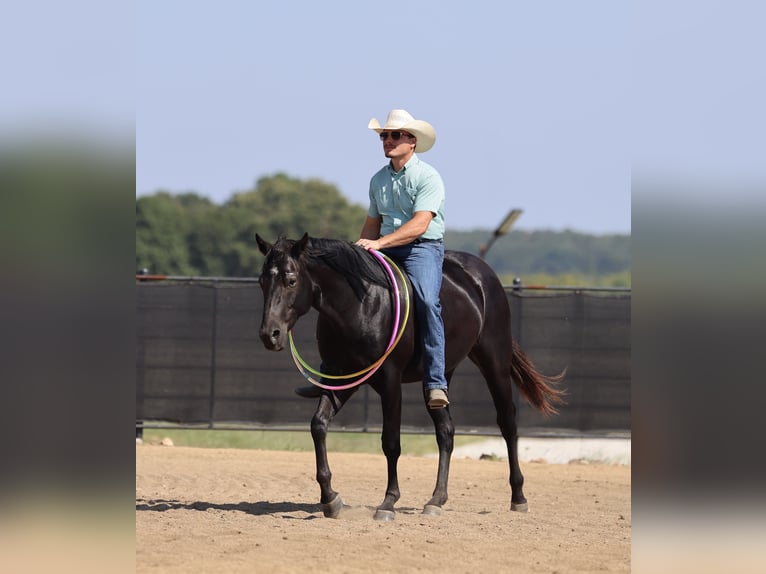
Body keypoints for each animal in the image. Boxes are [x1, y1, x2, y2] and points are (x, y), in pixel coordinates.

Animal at [255, 233, 564, 520]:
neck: (361, 304)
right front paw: (330, 499)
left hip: (494, 361)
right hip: (440, 375)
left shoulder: (390, 382)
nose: (270, 335)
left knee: (507, 422)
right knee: (446, 430)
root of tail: (482, 275)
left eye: (291, 280)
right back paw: (436, 499)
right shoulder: (340, 377)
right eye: (261, 281)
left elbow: (391, 441)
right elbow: (318, 425)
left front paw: (388, 502)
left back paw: (518, 496)